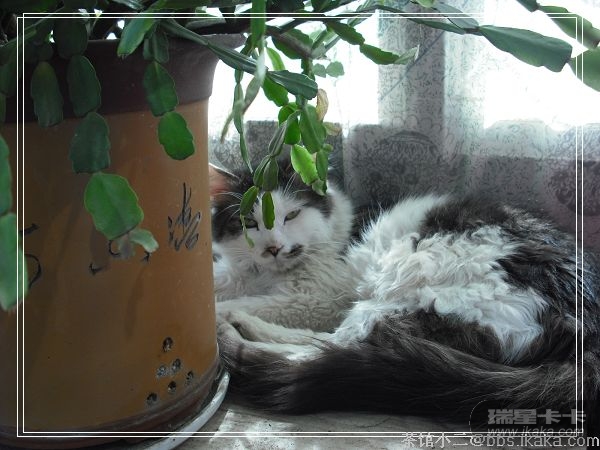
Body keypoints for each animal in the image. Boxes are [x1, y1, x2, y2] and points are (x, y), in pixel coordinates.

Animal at [209, 160, 600, 435]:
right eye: (249, 223)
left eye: (291, 215)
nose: (274, 247)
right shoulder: (239, 275)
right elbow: (220, 282)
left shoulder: (316, 297)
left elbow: (251, 304)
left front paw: (218, 314)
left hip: (407, 283)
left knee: (322, 349)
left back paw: (232, 330)